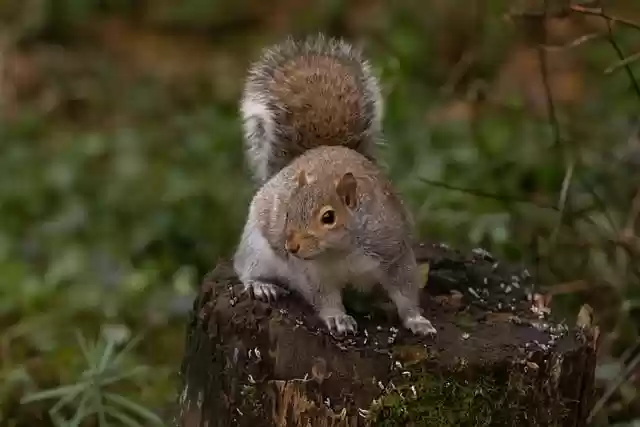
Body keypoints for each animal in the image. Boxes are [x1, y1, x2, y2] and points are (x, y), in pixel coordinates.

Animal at [233, 34, 436, 337]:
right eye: (288, 211)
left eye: (328, 217)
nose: (291, 246)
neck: (341, 251)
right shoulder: (312, 273)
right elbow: (324, 298)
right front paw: (338, 318)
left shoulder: (393, 252)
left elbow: (406, 290)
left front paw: (417, 320)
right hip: (256, 246)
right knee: (244, 266)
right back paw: (261, 285)